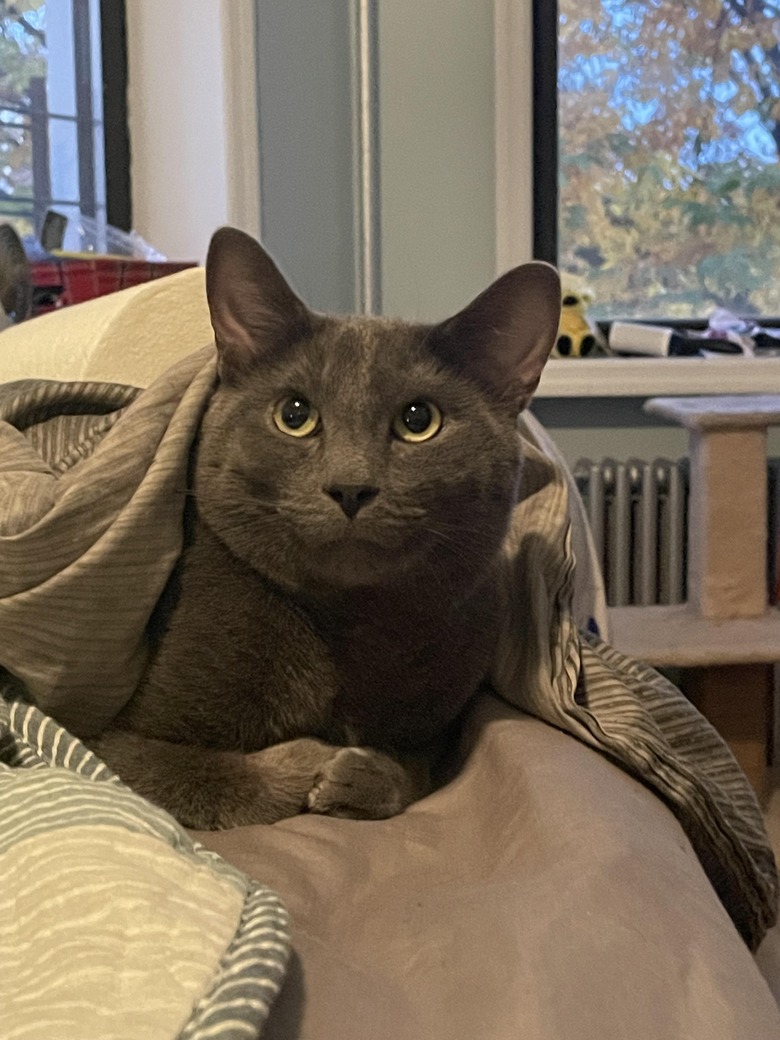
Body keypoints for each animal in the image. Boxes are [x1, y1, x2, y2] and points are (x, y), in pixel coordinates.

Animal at [89, 227, 561, 827]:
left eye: (419, 420)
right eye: (294, 414)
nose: (350, 486)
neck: (348, 627)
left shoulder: (442, 715)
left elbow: (418, 768)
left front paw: (364, 774)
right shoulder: (112, 743)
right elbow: (204, 772)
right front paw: (319, 764)